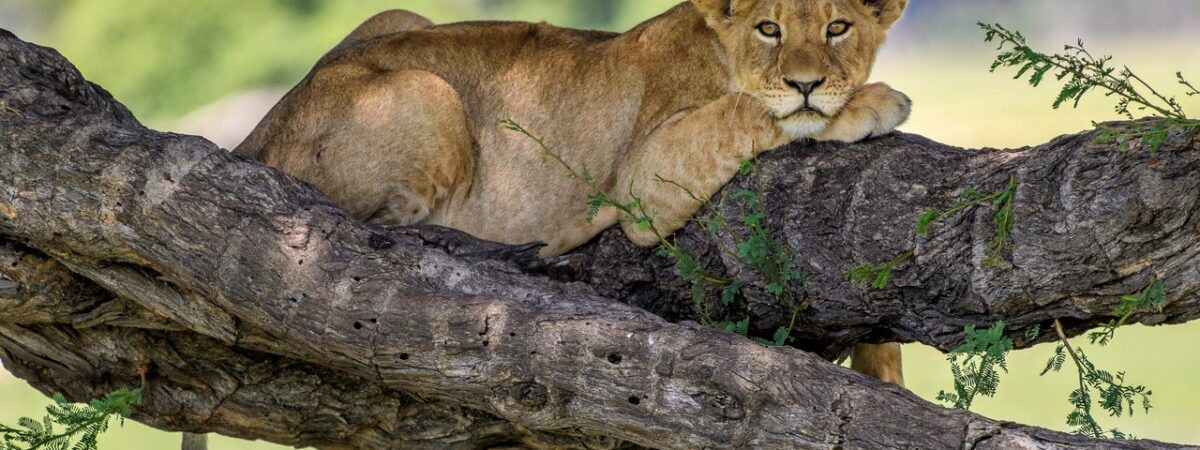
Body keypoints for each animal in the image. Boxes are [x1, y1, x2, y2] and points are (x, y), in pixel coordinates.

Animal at [235, 0, 911, 385]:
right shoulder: (642, 177)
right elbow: (756, 110)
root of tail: (255, 134)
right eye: (769, 28)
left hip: (398, 20)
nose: (807, 81)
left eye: (838, 27)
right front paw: (868, 102)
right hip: (425, 90)